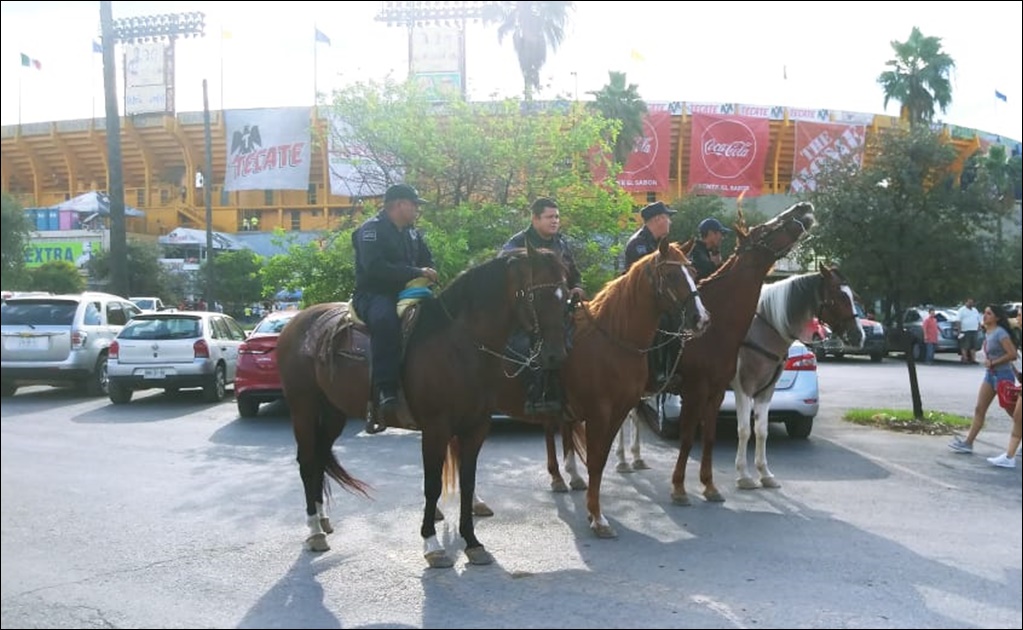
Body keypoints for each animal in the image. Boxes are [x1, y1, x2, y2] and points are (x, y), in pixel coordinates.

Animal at [276, 244, 572, 564]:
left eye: (565, 295)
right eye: (536, 295)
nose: (556, 355)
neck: (459, 345)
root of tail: (298, 321)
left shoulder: (476, 427)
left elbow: (467, 482)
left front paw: (472, 542)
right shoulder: (436, 429)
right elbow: (432, 485)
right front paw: (431, 543)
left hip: (333, 412)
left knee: (319, 457)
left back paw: (322, 519)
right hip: (303, 408)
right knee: (307, 461)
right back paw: (314, 530)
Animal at [495, 240, 712, 535]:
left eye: (693, 272)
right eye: (670, 275)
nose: (701, 318)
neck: (613, 341)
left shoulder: (618, 412)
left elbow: (601, 459)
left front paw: (593, 510)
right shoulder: (598, 414)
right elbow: (596, 459)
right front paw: (597, 517)